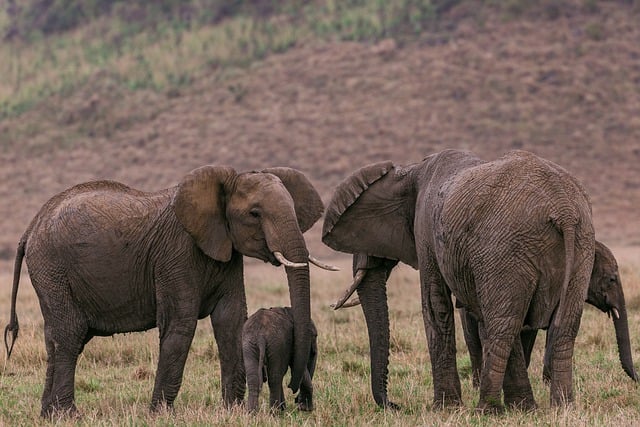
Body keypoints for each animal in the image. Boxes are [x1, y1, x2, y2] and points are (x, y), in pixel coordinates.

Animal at [5, 166, 338, 416]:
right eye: (255, 214)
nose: (297, 397)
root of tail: (29, 229)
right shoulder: (176, 255)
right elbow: (181, 324)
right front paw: (160, 414)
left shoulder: (227, 252)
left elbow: (230, 320)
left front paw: (232, 411)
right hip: (53, 269)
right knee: (69, 335)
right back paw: (68, 415)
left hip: (51, 274)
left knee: (59, 338)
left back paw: (48, 415)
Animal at [322, 151, 596, 414]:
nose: (394, 405)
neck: (410, 171)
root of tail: (563, 210)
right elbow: (482, 317)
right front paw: (523, 409)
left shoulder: (426, 231)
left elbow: (435, 305)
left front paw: (445, 408)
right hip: (581, 246)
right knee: (563, 328)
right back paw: (562, 408)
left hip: (507, 249)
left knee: (504, 326)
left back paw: (486, 410)